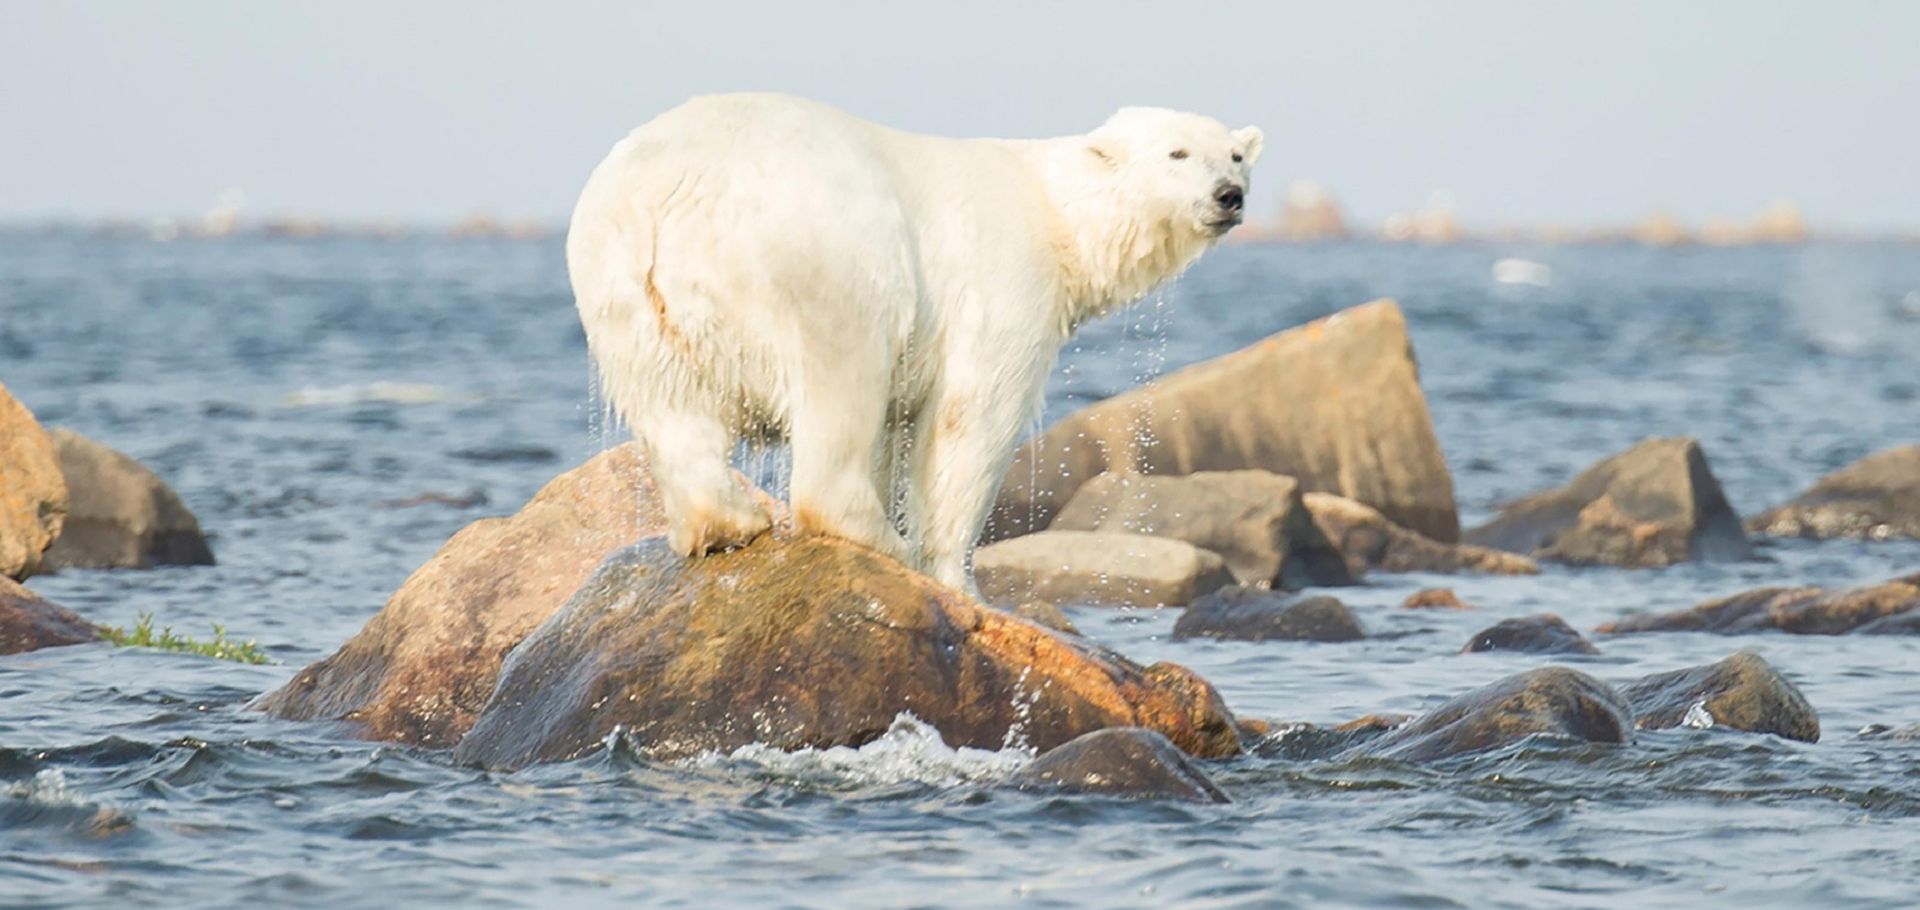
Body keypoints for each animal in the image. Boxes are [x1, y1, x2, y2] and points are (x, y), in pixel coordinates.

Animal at [568, 92, 1261, 594]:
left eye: (1234, 156)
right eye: (1177, 153)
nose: (1229, 197)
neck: (1057, 213)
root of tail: (674, 187)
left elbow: (893, 435)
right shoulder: (1003, 284)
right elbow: (972, 418)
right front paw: (955, 576)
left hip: (620, 282)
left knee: (671, 404)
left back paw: (724, 522)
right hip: (826, 250)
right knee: (842, 372)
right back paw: (876, 538)